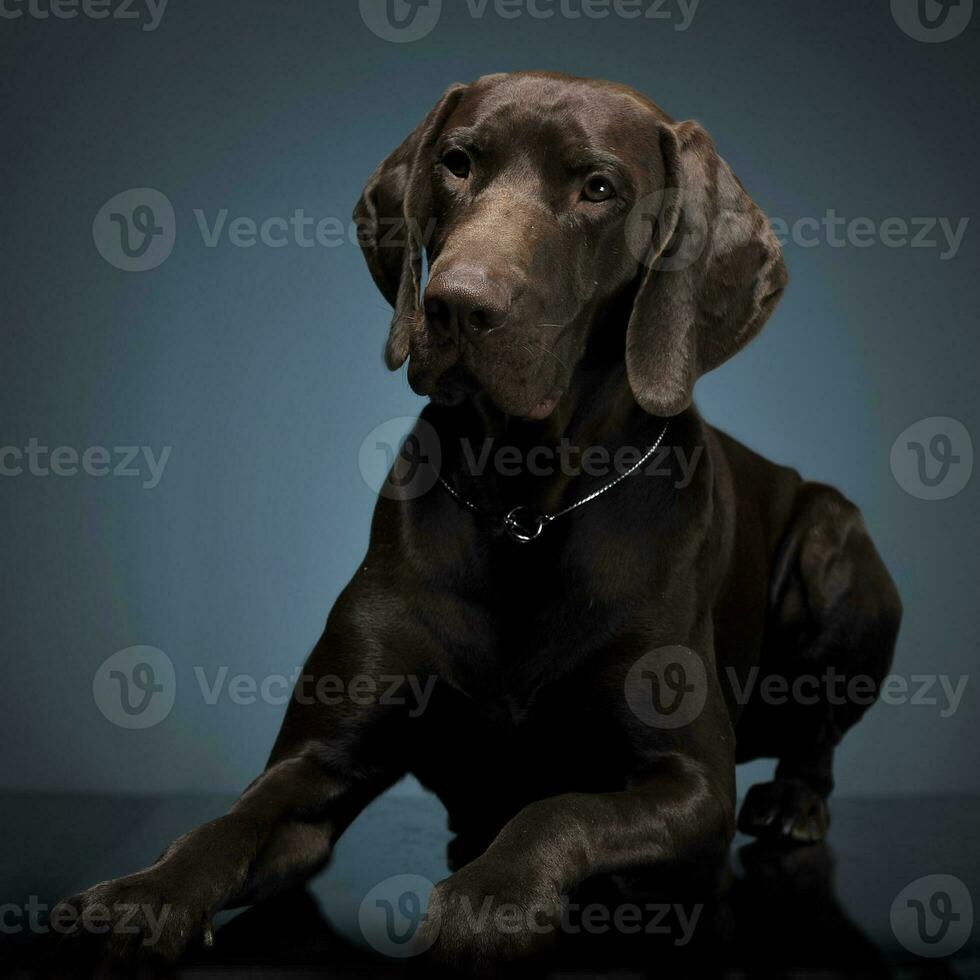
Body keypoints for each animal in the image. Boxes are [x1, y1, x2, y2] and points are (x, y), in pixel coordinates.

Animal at [53, 74, 900, 972]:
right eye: (458, 163)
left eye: (598, 188)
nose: (456, 304)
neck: (526, 508)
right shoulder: (319, 763)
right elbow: (230, 824)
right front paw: (140, 894)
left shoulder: (691, 779)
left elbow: (558, 809)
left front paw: (491, 898)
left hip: (836, 547)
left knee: (816, 738)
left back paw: (794, 803)